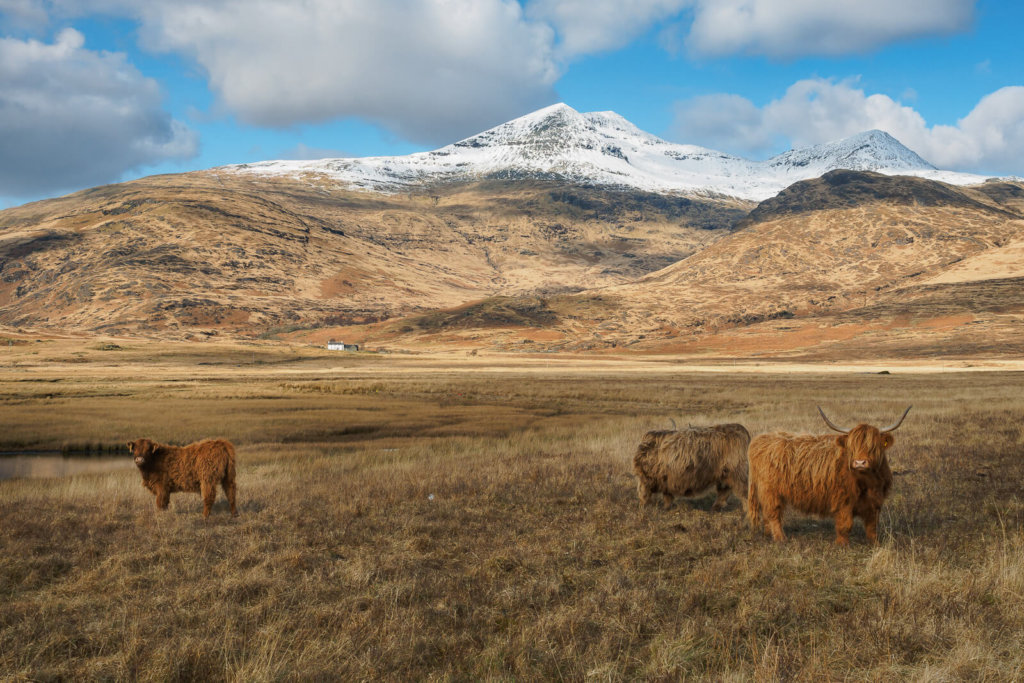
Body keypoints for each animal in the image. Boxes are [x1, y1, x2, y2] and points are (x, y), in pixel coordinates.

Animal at [745, 405, 913, 544]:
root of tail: (760, 439)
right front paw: (842, 544)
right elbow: (845, 525)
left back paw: (768, 534)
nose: (860, 462)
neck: (867, 482)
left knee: (767, 514)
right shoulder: (843, 501)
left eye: (873, 447)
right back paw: (781, 538)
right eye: (852, 447)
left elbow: (872, 526)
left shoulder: (875, 502)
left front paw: (874, 544)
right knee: (773, 513)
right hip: (770, 491)